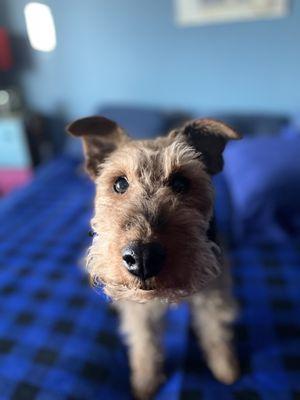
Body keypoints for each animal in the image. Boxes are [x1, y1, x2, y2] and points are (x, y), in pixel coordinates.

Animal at [67, 114, 240, 398]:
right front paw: (145, 384)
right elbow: (145, 343)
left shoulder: (213, 293)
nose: (143, 258)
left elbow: (215, 330)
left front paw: (226, 369)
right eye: (120, 183)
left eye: (181, 183)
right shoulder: (140, 310)